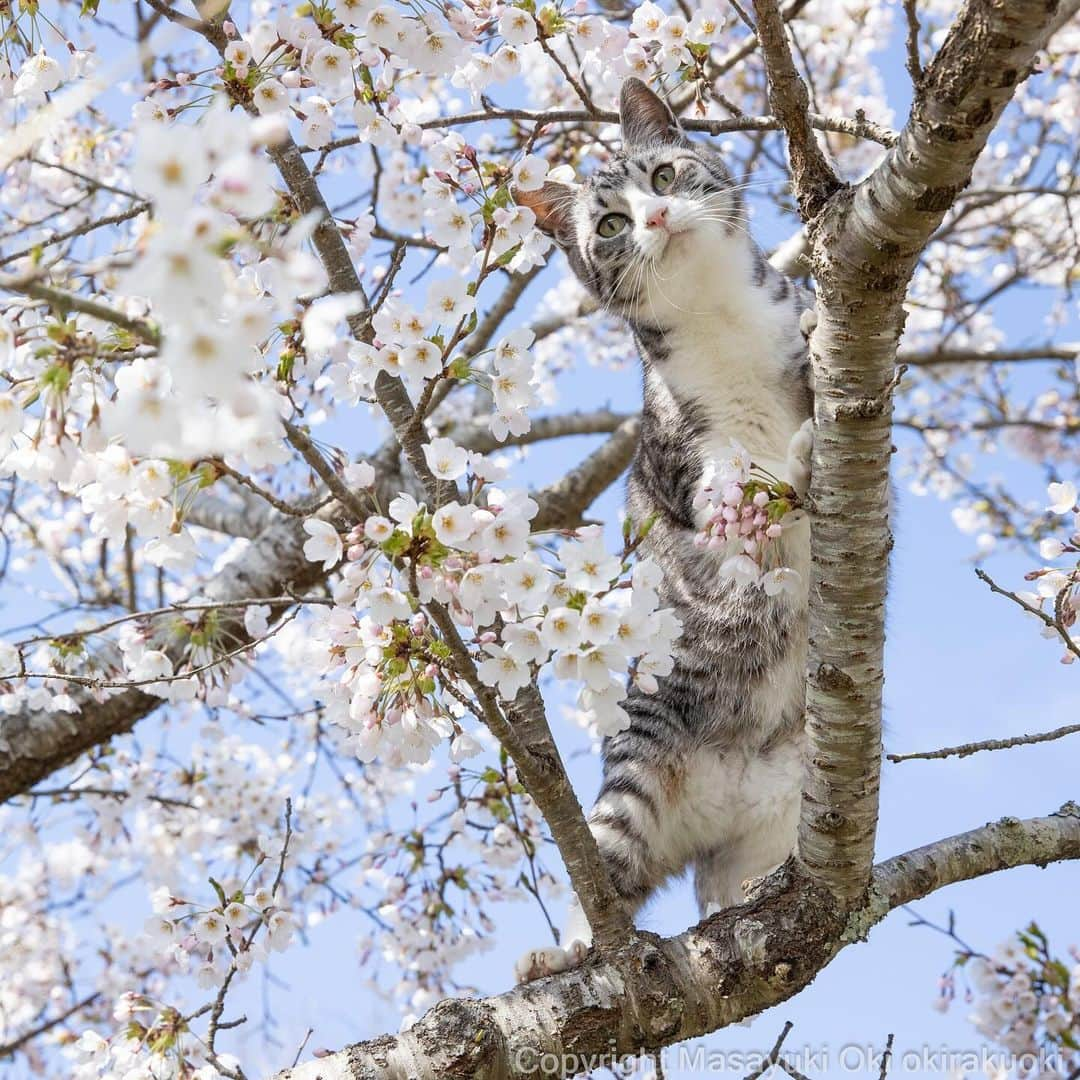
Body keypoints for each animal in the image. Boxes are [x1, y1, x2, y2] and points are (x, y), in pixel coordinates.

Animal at [511, 79, 812, 984]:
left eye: (667, 174)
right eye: (609, 225)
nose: (653, 216)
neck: (721, 321)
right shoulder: (676, 448)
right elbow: (718, 485)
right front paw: (749, 493)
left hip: (792, 798)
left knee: (748, 887)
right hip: (635, 782)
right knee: (615, 882)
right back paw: (569, 949)